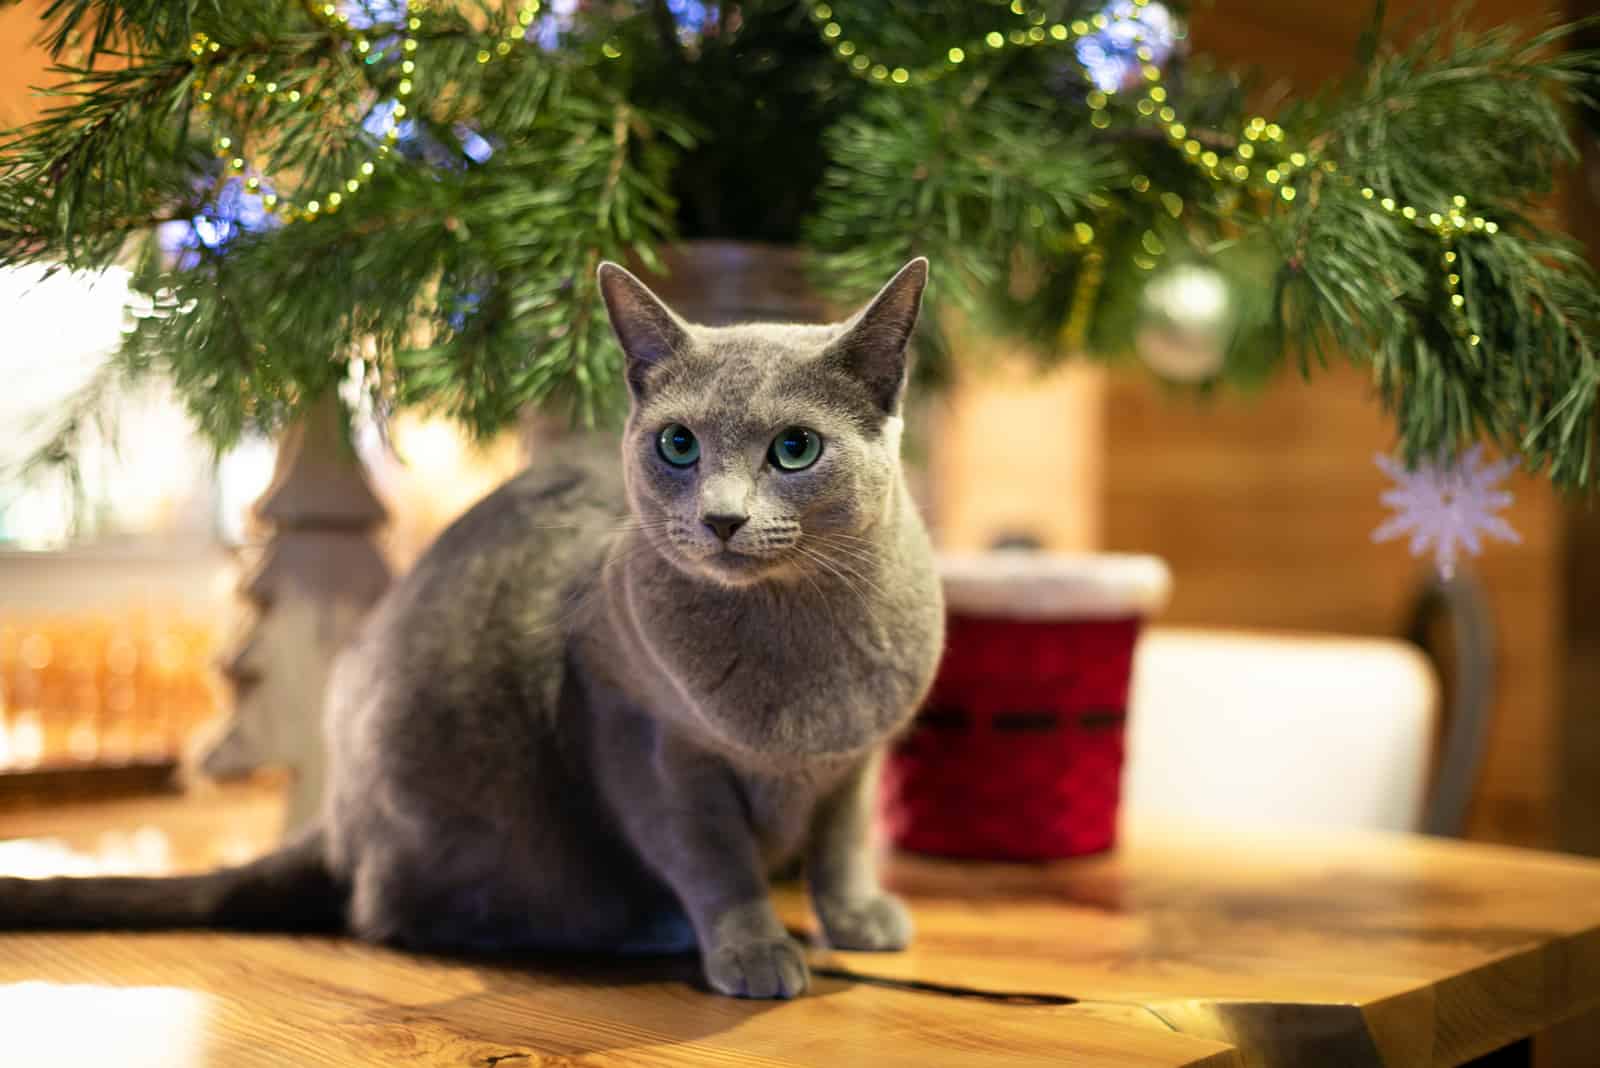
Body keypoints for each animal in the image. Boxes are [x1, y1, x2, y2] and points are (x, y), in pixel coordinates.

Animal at [0, 254, 940, 997]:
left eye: (794, 450)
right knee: (400, 913)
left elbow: (843, 842)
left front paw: (858, 920)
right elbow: (713, 860)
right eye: (678, 445)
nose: (721, 519)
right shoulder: (643, 741)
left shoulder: (859, 756)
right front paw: (753, 949)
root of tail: (337, 823)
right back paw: (644, 928)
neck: (799, 658)